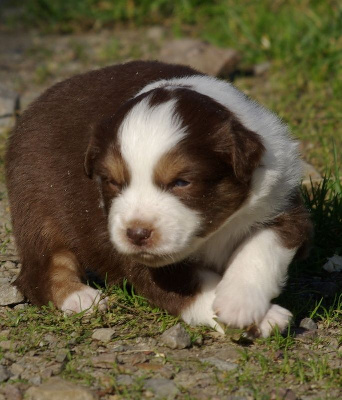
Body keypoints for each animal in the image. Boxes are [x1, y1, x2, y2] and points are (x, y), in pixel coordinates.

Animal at [5, 60, 312, 338]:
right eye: (112, 181)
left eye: (181, 182)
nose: (137, 234)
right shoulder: (143, 262)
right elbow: (196, 284)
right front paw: (265, 318)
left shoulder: (282, 203)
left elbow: (260, 249)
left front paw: (239, 304)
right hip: (36, 206)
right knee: (42, 268)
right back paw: (80, 297)